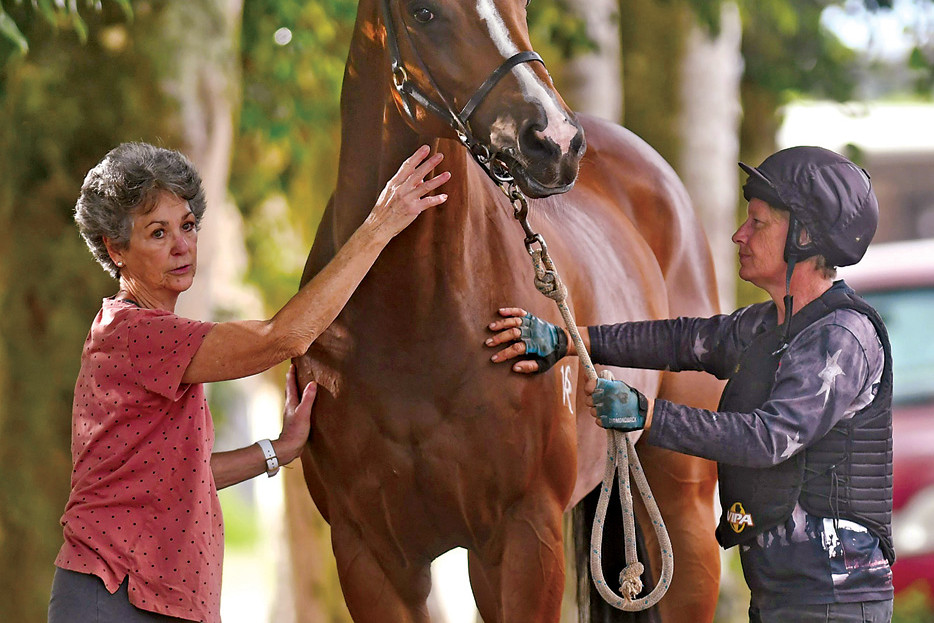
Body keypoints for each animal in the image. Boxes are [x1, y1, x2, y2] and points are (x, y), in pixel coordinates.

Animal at [296, 2, 728, 620]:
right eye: (424, 12)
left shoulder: (525, 538)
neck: (410, 327)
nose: (556, 141)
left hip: (682, 502)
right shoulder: (369, 558)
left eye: (520, 7)